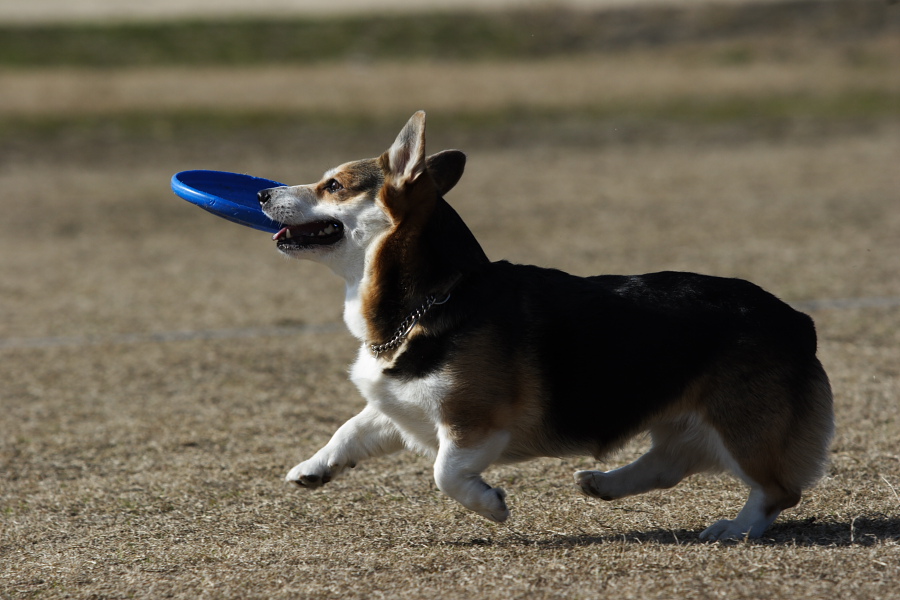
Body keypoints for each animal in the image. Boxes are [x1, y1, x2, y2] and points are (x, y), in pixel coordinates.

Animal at [257, 111, 834, 541]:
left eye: (333, 185)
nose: (262, 195)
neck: (432, 299)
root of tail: (797, 320)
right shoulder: (399, 406)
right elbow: (350, 428)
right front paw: (313, 469)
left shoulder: (472, 424)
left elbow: (446, 473)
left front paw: (491, 505)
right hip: (684, 415)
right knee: (672, 461)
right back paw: (604, 483)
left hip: (740, 422)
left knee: (778, 490)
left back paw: (735, 527)